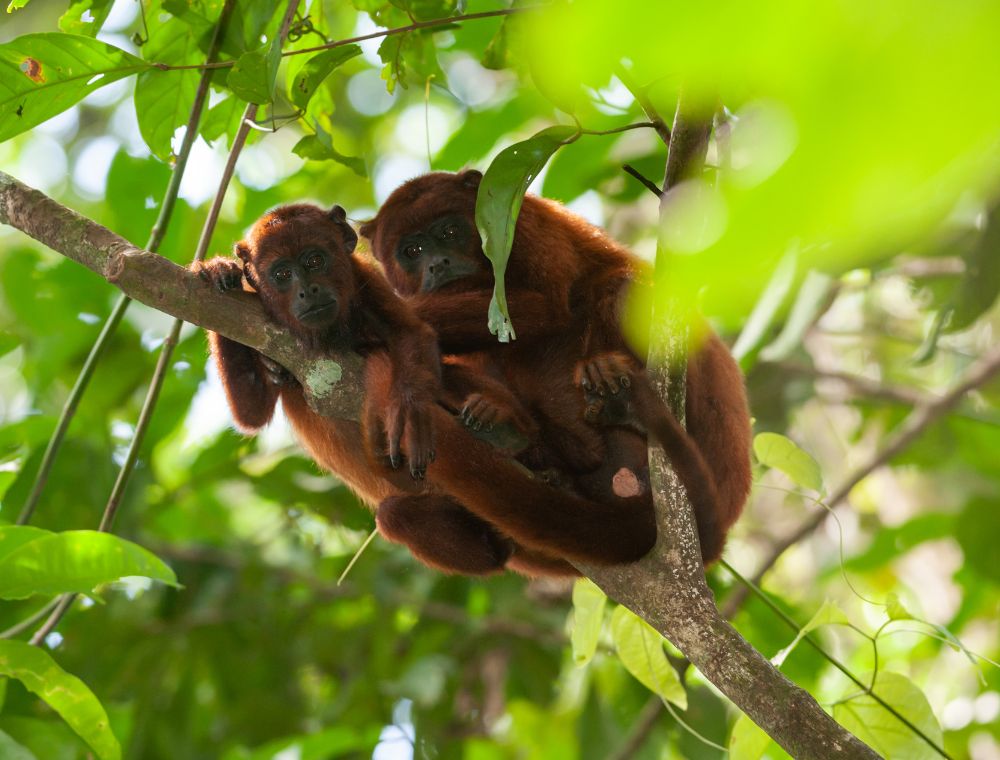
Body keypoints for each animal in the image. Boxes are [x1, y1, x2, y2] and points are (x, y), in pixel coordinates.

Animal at [193, 202, 672, 576]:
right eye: (281, 274)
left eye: (314, 261)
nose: (308, 291)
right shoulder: (259, 313)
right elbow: (251, 414)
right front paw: (219, 271)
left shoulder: (367, 280)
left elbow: (414, 337)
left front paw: (407, 407)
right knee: (398, 518)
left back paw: (512, 433)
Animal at [360, 172, 752, 564]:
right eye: (412, 251)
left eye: (450, 231)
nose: (437, 264)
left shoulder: (524, 224)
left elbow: (546, 306)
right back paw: (517, 435)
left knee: (622, 288)